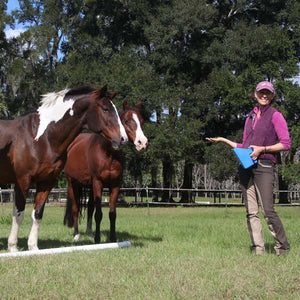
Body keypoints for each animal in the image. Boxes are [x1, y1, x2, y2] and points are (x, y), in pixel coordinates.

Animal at [0, 85, 127, 252]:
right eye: (105, 109)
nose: (123, 139)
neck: (40, 137)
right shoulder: (22, 181)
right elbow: (18, 213)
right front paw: (13, 247)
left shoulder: (46, 182)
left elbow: (37, 214)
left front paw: (33, 247)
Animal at [63, 102, 148, 243]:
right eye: (126, 121)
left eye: (141, 121)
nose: (142, 142)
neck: (108, 154)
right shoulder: (98, 183)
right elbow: (98, 214)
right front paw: (97, 239)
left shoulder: (115, 185)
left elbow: (112, 213)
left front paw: (112, 239)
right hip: (73, 184)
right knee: (76, 208)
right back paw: (76, 234)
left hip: (90, 186)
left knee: (90, 207)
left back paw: (89, 232)